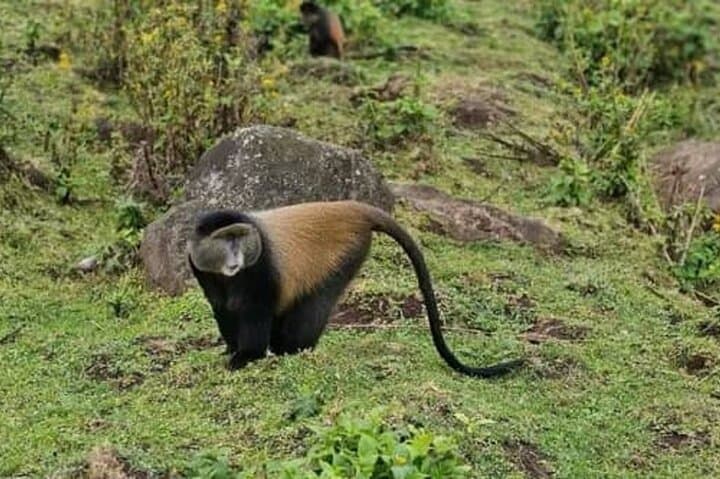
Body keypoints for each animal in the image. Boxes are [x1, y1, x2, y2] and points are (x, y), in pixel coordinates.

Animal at [188, 201, 524, 377]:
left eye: (239, 238)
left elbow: (255, 313)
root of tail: (352, 208)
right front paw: (231, 349)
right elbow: (222, 308)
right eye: (224, 240)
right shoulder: (202, 269)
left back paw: (292, 351)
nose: (236, 257)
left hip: (344, 255)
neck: (229, 274)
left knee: (309, 313)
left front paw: (246, 357)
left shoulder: (259, 272)